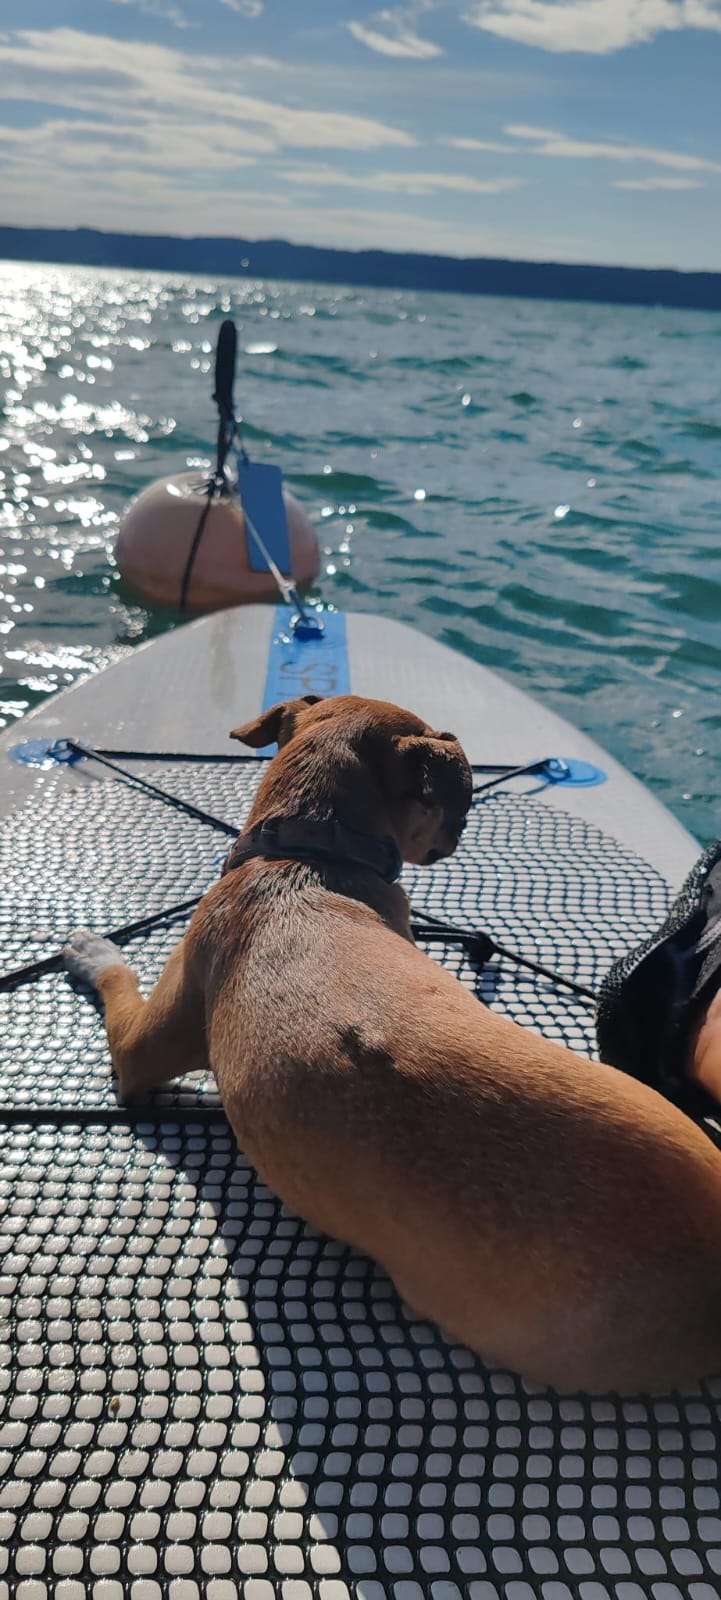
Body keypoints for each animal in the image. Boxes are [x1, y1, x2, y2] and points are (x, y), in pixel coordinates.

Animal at [63, 693, 721, 1393]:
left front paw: (91, 951)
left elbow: (119, 983)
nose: (458, 833)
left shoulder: (138, 1054)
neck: (311, 858)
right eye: (449, 804)